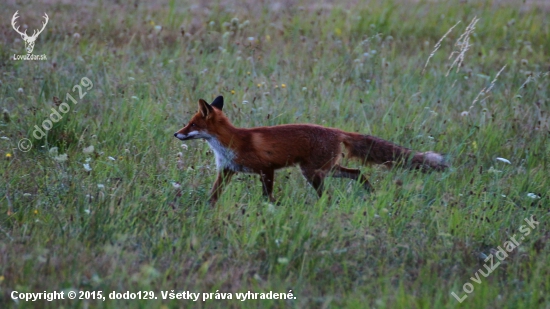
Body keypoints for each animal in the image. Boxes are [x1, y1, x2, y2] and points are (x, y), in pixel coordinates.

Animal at [175, 95, 450, 203]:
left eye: (191, 124)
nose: (176, 134)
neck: (229, 143)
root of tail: (337, 130)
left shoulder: (266, 168)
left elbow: (268, 197)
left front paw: (270, 211)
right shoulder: (227, 171)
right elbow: (213, 197)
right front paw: (205, 211)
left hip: (312, 172)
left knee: (328, 195)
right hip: (327, 169)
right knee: (358, 173)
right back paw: (370, 194)